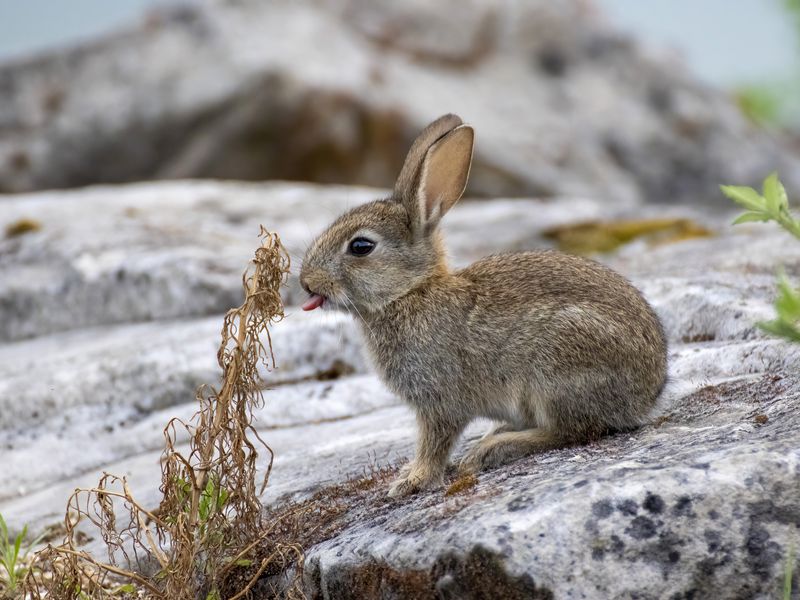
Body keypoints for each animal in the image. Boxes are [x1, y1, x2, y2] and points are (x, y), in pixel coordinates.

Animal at [299, 114, 668, 498]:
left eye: (361, 247)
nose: (306, 281)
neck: (410, 292)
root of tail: (647, 395)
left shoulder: (440, 400)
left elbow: (434, 443)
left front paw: (412, 481)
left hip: (557, 366)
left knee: (573, 431)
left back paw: (491, 449)